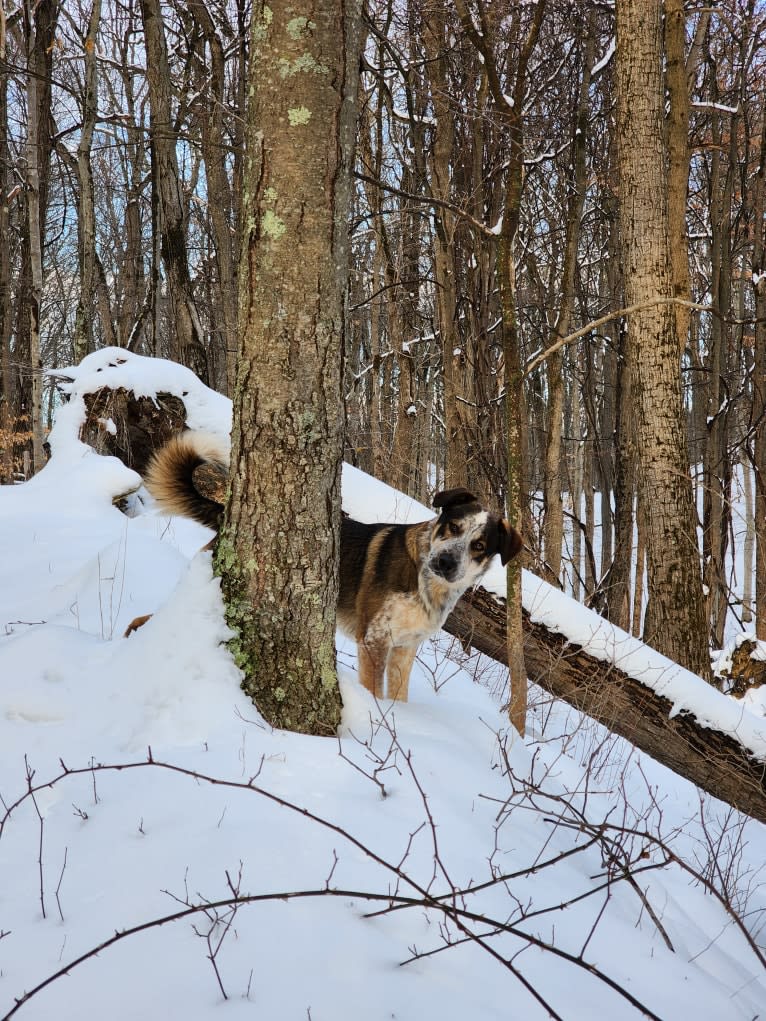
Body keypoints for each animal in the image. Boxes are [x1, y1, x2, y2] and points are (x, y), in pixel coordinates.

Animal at [136, 430, 522, 702]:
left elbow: (399, 699)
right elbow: (374, 694)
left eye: (479, 545)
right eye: (453, 527)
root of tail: (227, 518)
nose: (444, 561)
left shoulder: (404, 649)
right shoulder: (374, 641)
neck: (426, 582)